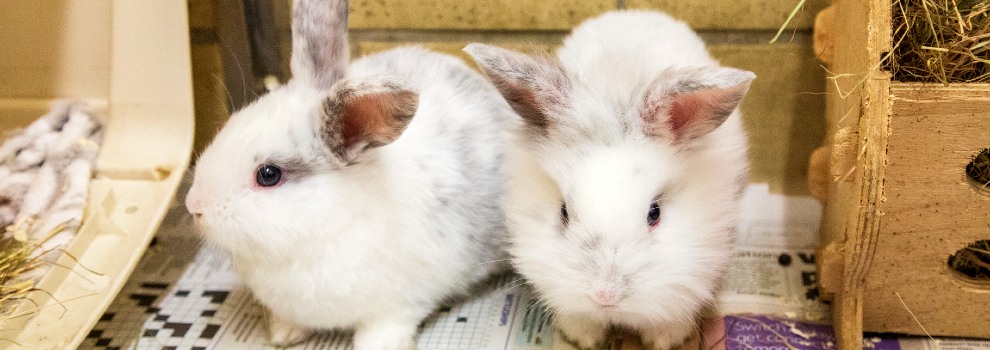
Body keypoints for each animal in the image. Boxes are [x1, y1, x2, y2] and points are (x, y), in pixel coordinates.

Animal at [184, 0, 520, 348]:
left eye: (268, 175)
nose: (194, 206)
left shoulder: (401, 303)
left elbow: (386, 326)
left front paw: (378, 345)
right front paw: (282, 334)